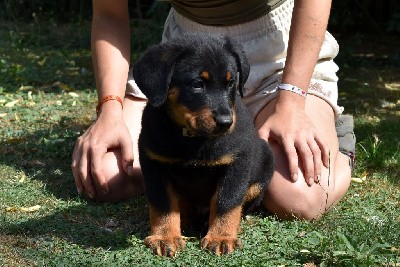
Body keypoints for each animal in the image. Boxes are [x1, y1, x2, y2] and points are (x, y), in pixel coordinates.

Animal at [133, 33, 274, 258]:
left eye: (230, 82)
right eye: (197, 84)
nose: (226, 122)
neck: (193, 139)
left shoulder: (237, 162)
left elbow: (227, 201)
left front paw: (221, 237)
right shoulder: (153, 161)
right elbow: (163, 203)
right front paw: (165, 236)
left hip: (262, 171)